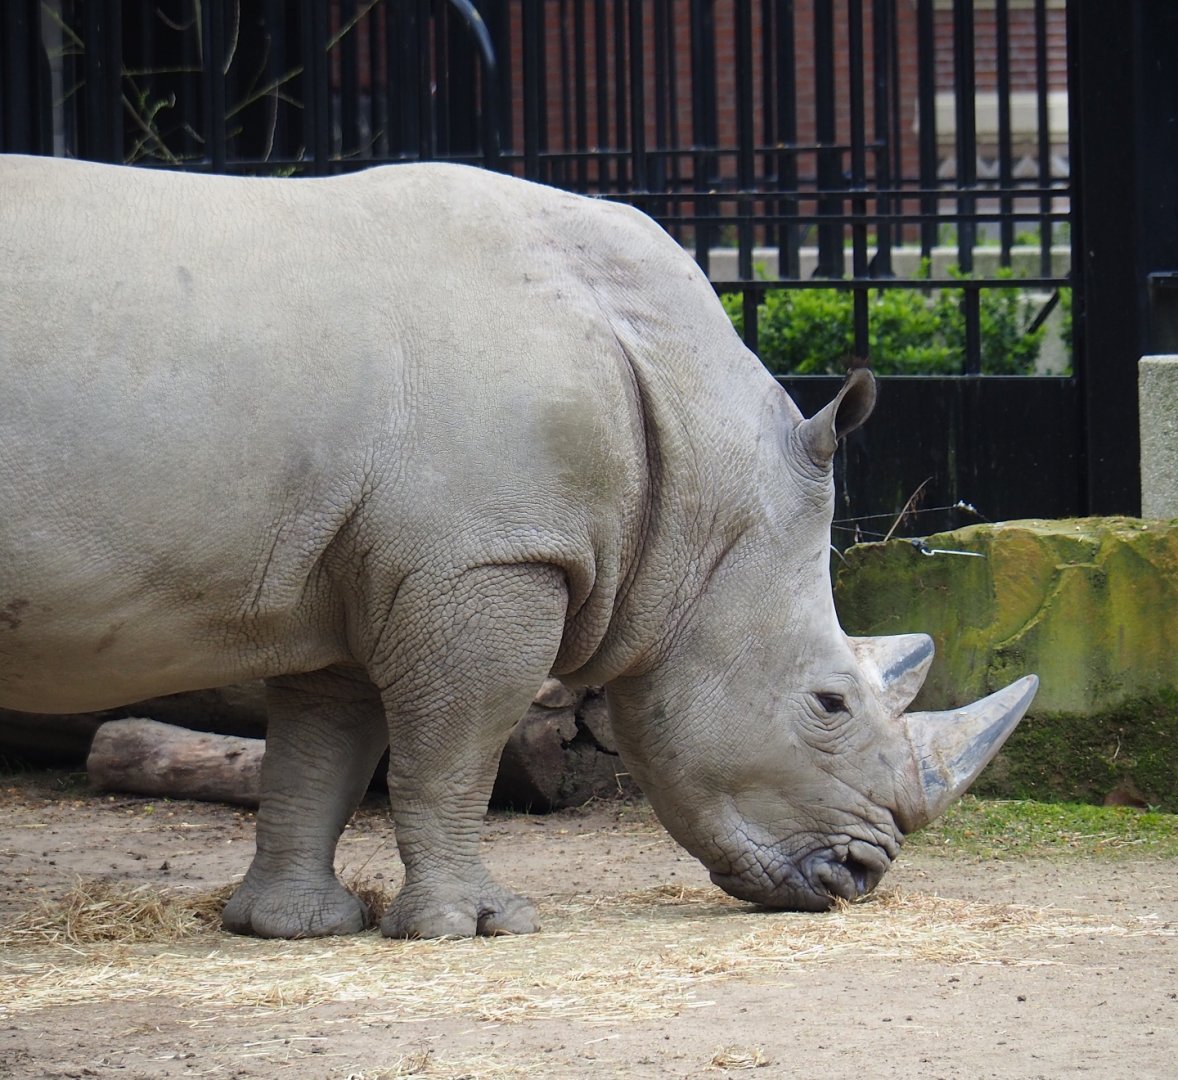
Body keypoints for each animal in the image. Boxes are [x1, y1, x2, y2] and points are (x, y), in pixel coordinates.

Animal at [0, 155, 1037, 939]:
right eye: (828, 704)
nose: (860, 877)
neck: (703, 468)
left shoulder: (356, 563)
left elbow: (320, 750)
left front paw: (292, 928)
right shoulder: (487, 557)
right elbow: (457, 745)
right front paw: (478, 925)